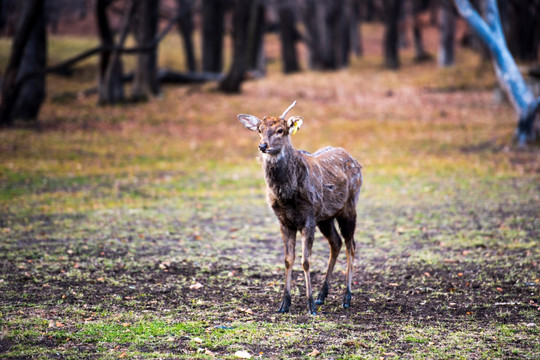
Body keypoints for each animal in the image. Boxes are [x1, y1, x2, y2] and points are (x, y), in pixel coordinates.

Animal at [237, 101, 360, 316]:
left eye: (281, 130)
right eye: (259, 130)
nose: (263, 146)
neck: (287, 196)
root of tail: (356, 161)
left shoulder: (309, 217)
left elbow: (306, 261)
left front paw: (310, 306)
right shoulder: (284, 221)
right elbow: (288, 260)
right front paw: (284, 304)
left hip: (349, 206)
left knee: (350, 246)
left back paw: (346, 298)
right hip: (326, 217)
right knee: (336, 243)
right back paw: (322, 295)